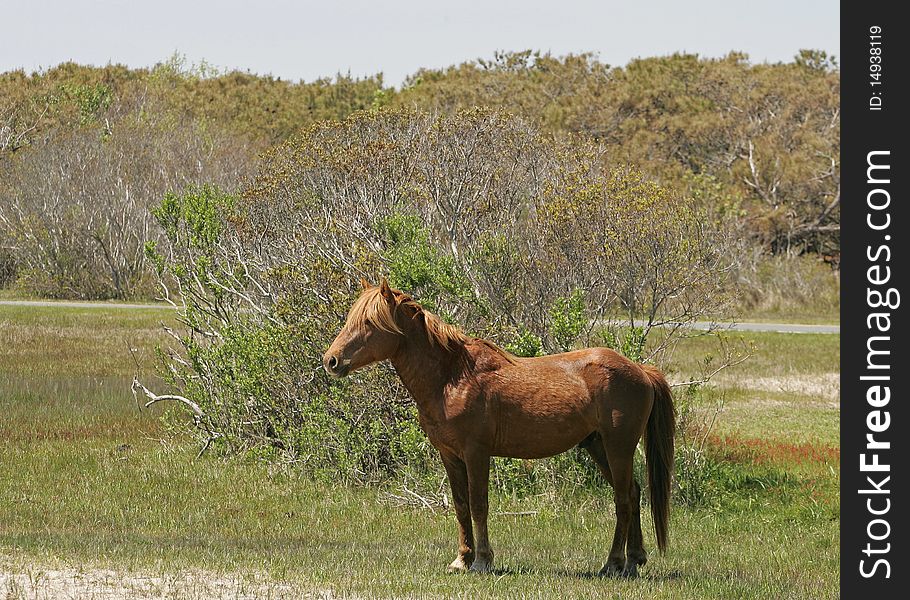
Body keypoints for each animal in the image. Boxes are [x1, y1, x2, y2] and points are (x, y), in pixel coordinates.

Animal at [324, 280, 672, 576]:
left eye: (370, 323)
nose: (332, 360)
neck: (452, 378)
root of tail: (640, 370)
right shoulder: (450, 455)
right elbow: (461, 505)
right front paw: (461, 559)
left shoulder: (476, 453)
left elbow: (479, 504)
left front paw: (481, 560)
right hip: (598, 445)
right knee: (632, 493)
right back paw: (634, 560)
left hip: (618, 447)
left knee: (623, 500)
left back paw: (613, 564)